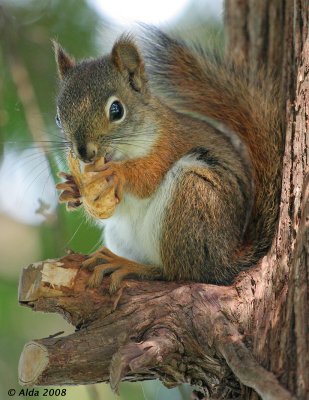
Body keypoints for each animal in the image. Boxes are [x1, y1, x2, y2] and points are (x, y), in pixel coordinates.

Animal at [53, 26, 282, 292]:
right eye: (58, 117)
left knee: (177, 272)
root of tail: (226, 259)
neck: (122, 153)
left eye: (116, 110)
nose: (83, 152)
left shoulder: (168, 146)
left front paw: (117, 173)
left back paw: (130, 266)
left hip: (192, 195)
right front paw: (70, 188)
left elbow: (148, 178)